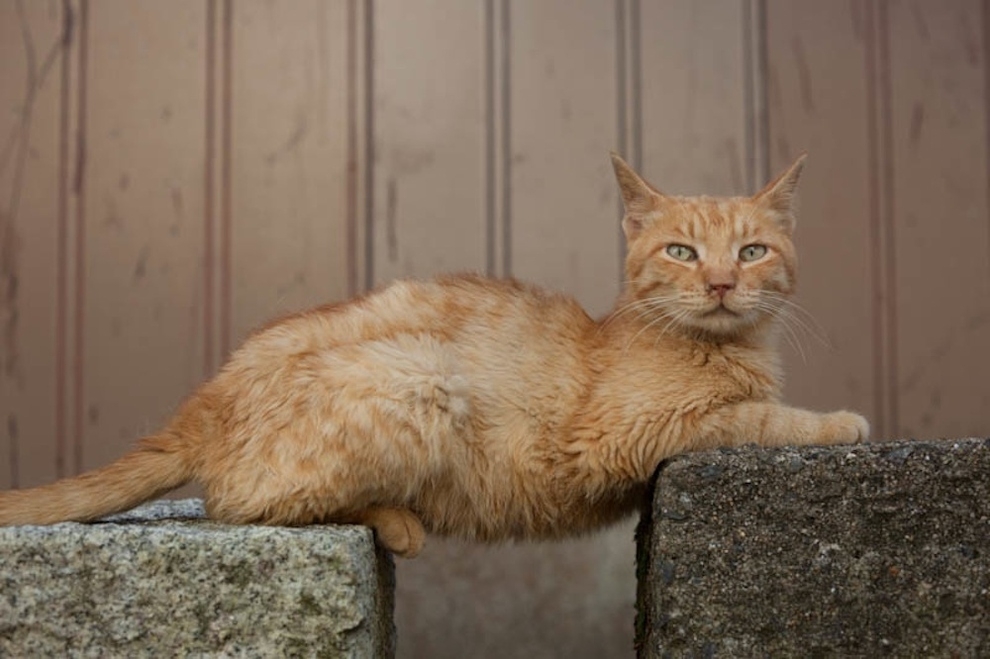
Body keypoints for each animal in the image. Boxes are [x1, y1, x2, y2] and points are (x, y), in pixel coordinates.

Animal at [0, 153, 868, 556]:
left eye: (752, 251)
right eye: (682, 252)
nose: (721, 282)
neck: (719, 346)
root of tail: (206, 394)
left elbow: (752, 410)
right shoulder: (627, 436)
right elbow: (756, 417)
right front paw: (839, 421)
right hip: (420, 376)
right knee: (240, 502)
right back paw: (393, 517)